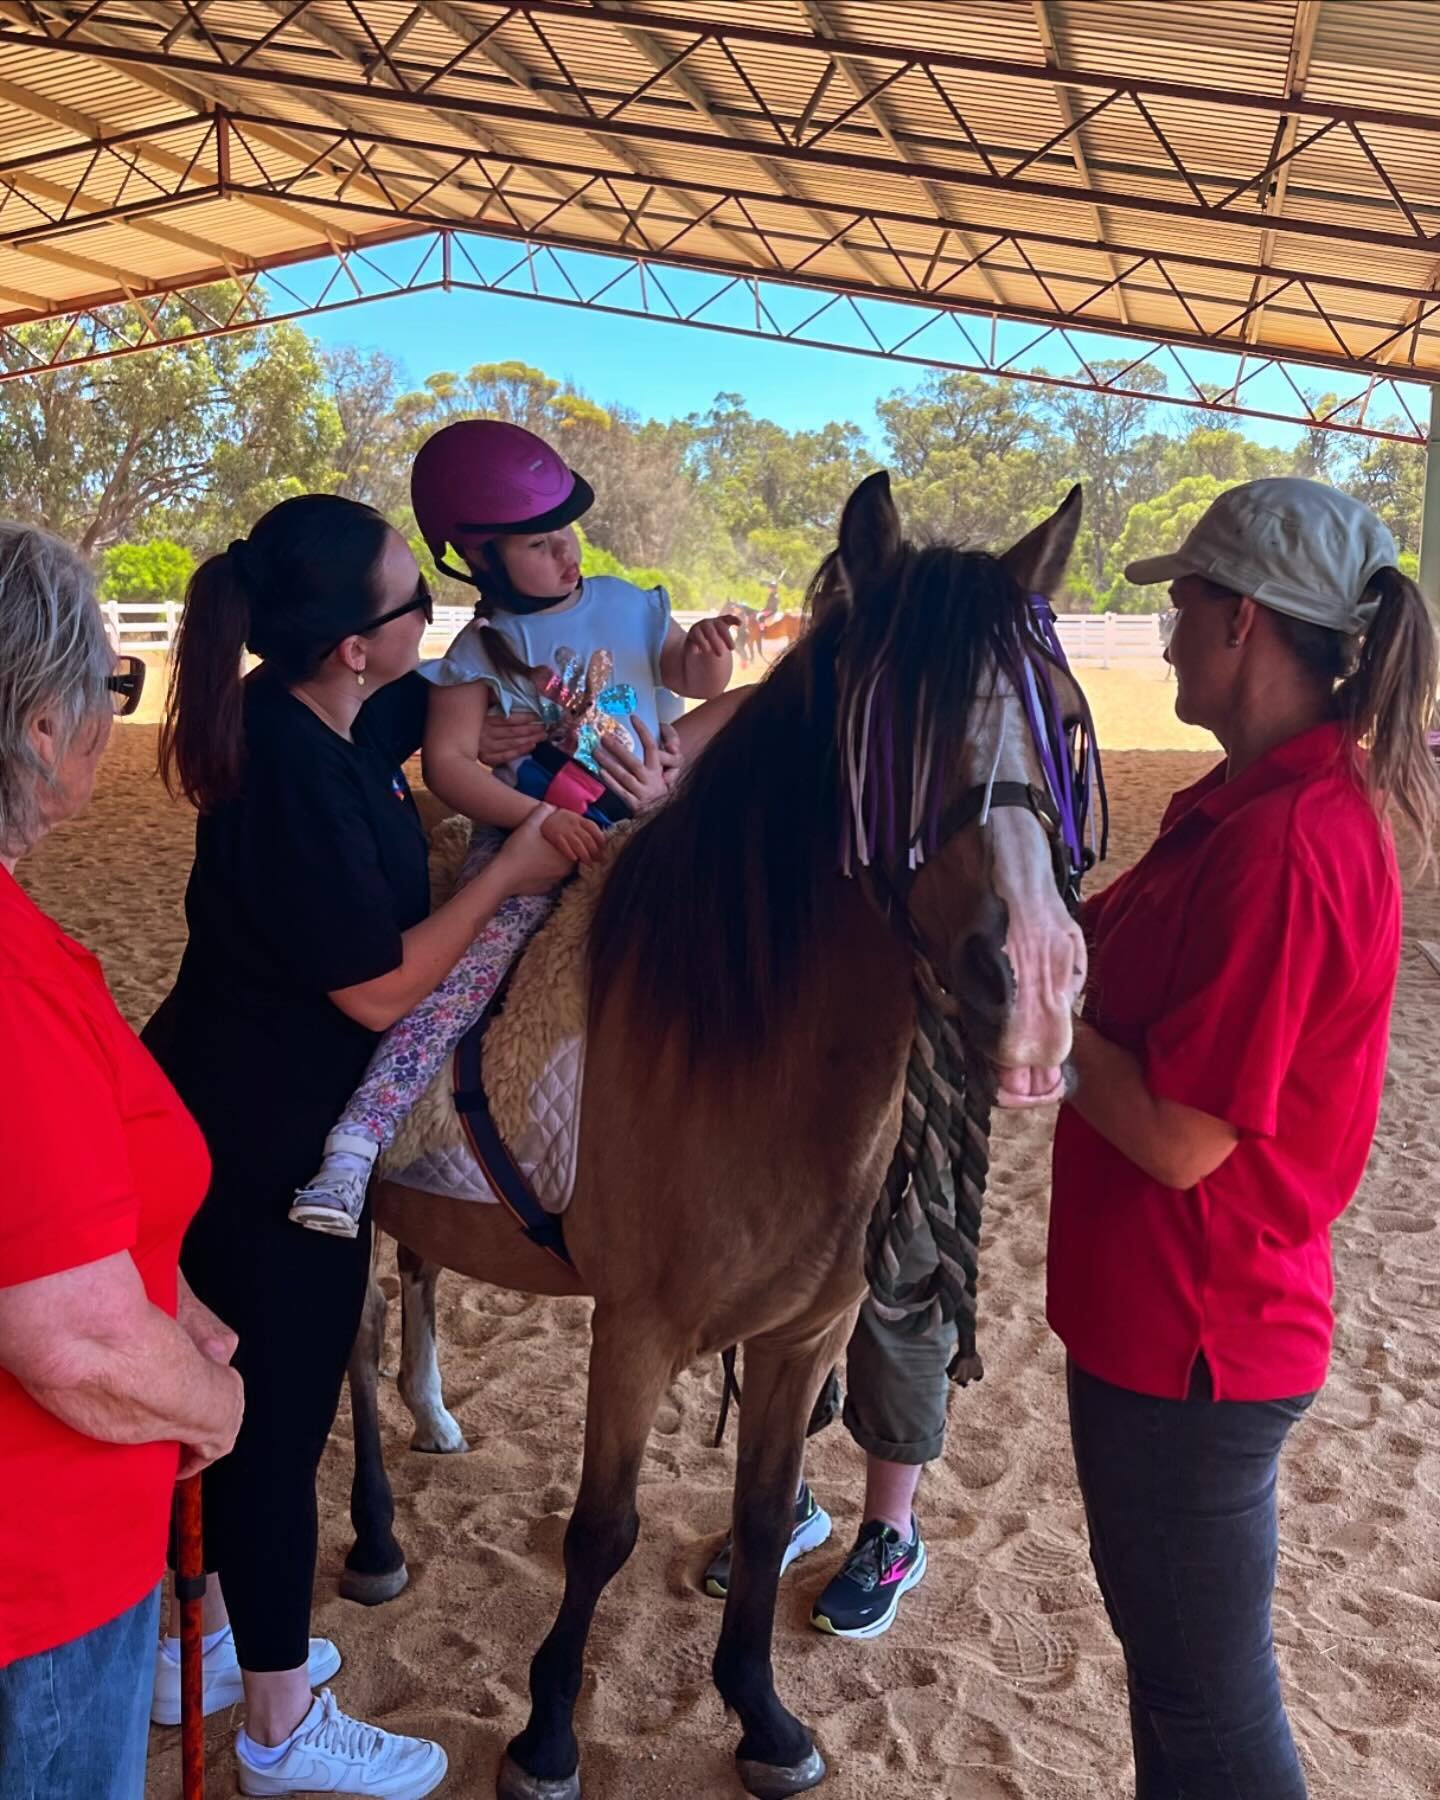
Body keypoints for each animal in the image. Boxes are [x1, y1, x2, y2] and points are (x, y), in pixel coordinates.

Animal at [351, 471, 1094, 1792]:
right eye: (889, 737)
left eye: (1061, 719)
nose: (1043, 981)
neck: (738, 1041)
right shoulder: (636, 1329)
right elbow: (601, 1529)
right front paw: (547, 1733)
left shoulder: (807, 1336)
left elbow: (757, 1522)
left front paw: (763, 1719)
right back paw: (376, 1540)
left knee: (418, 1281)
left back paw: (433, 1417)